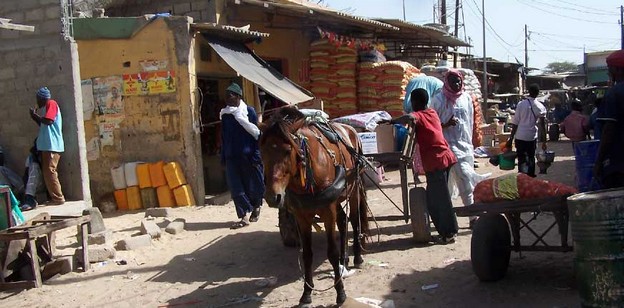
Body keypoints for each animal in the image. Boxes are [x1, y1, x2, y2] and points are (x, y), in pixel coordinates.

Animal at [260, 106, 370, 306]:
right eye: (262, 152)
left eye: (287, 150)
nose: (273, 197)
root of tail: (350, 130)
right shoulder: (302, 216)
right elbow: (307, 254)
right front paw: (306, 293)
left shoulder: (327, 211)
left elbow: (331, 252)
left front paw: (340, 293)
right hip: (336, 199)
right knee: (343, 222)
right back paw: (345, 258)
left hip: (353, 189)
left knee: (355, 219)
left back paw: (357, 256)